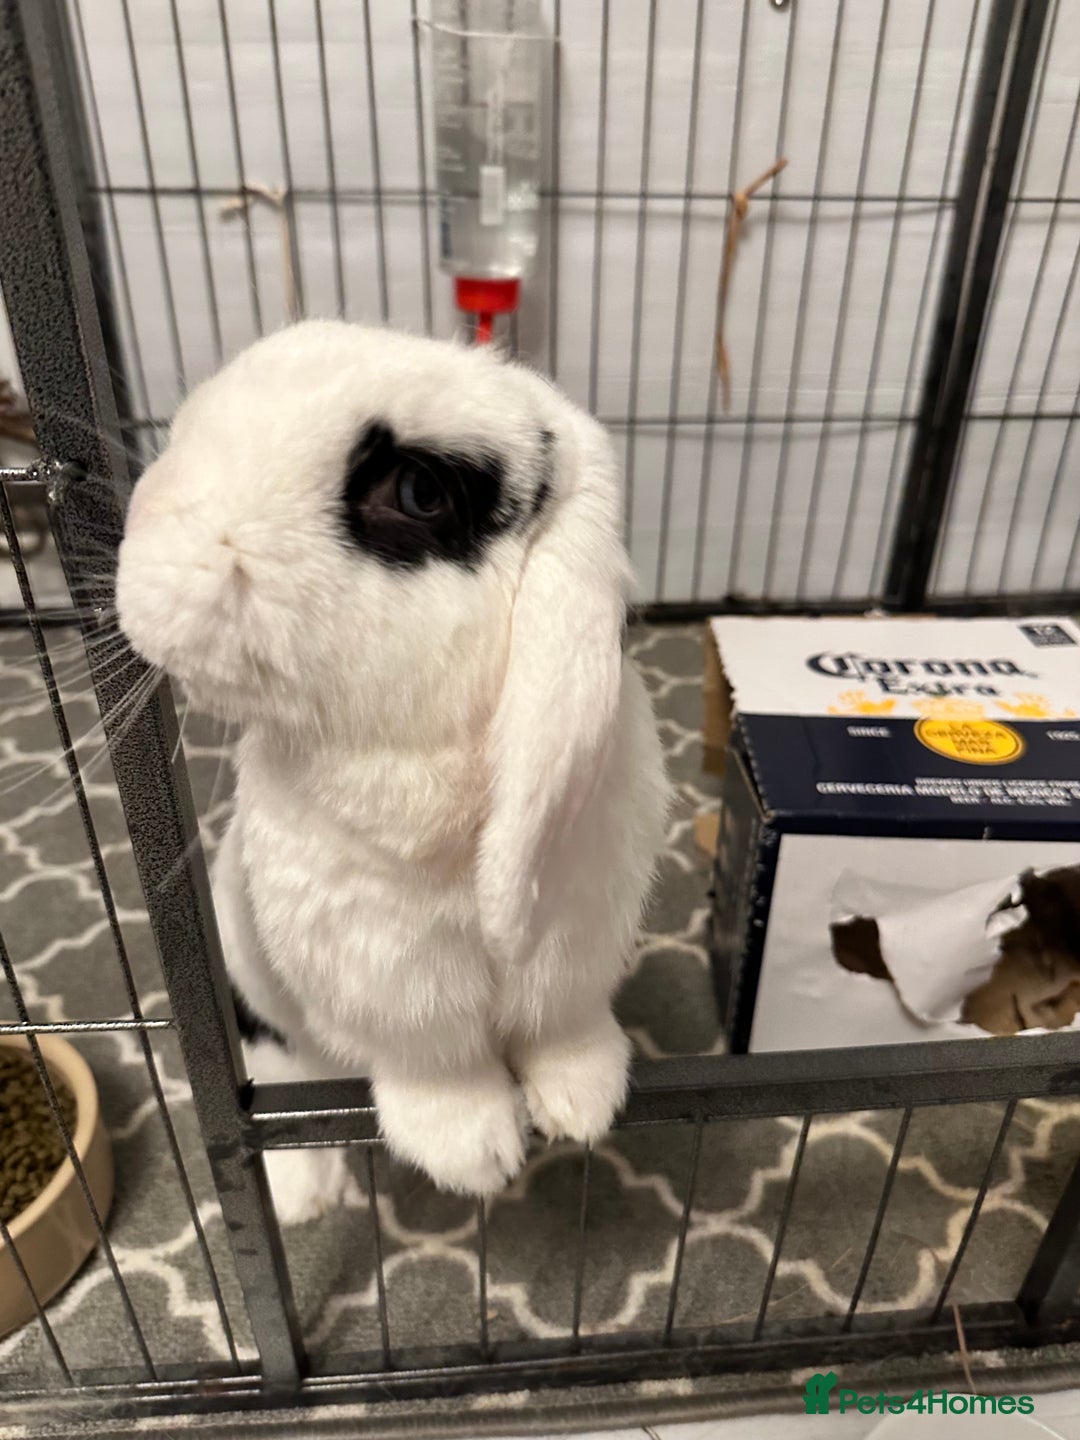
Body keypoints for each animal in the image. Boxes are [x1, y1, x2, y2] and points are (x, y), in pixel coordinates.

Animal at [116, 320, 669, 1219]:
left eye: (417, 492)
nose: (142, 527)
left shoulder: (577, 950)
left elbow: (565, 1030)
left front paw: (584, 1105)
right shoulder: (386, 976)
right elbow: (437, 1069)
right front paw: (475, 1157)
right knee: (279, 1059)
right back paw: (303, 1196)